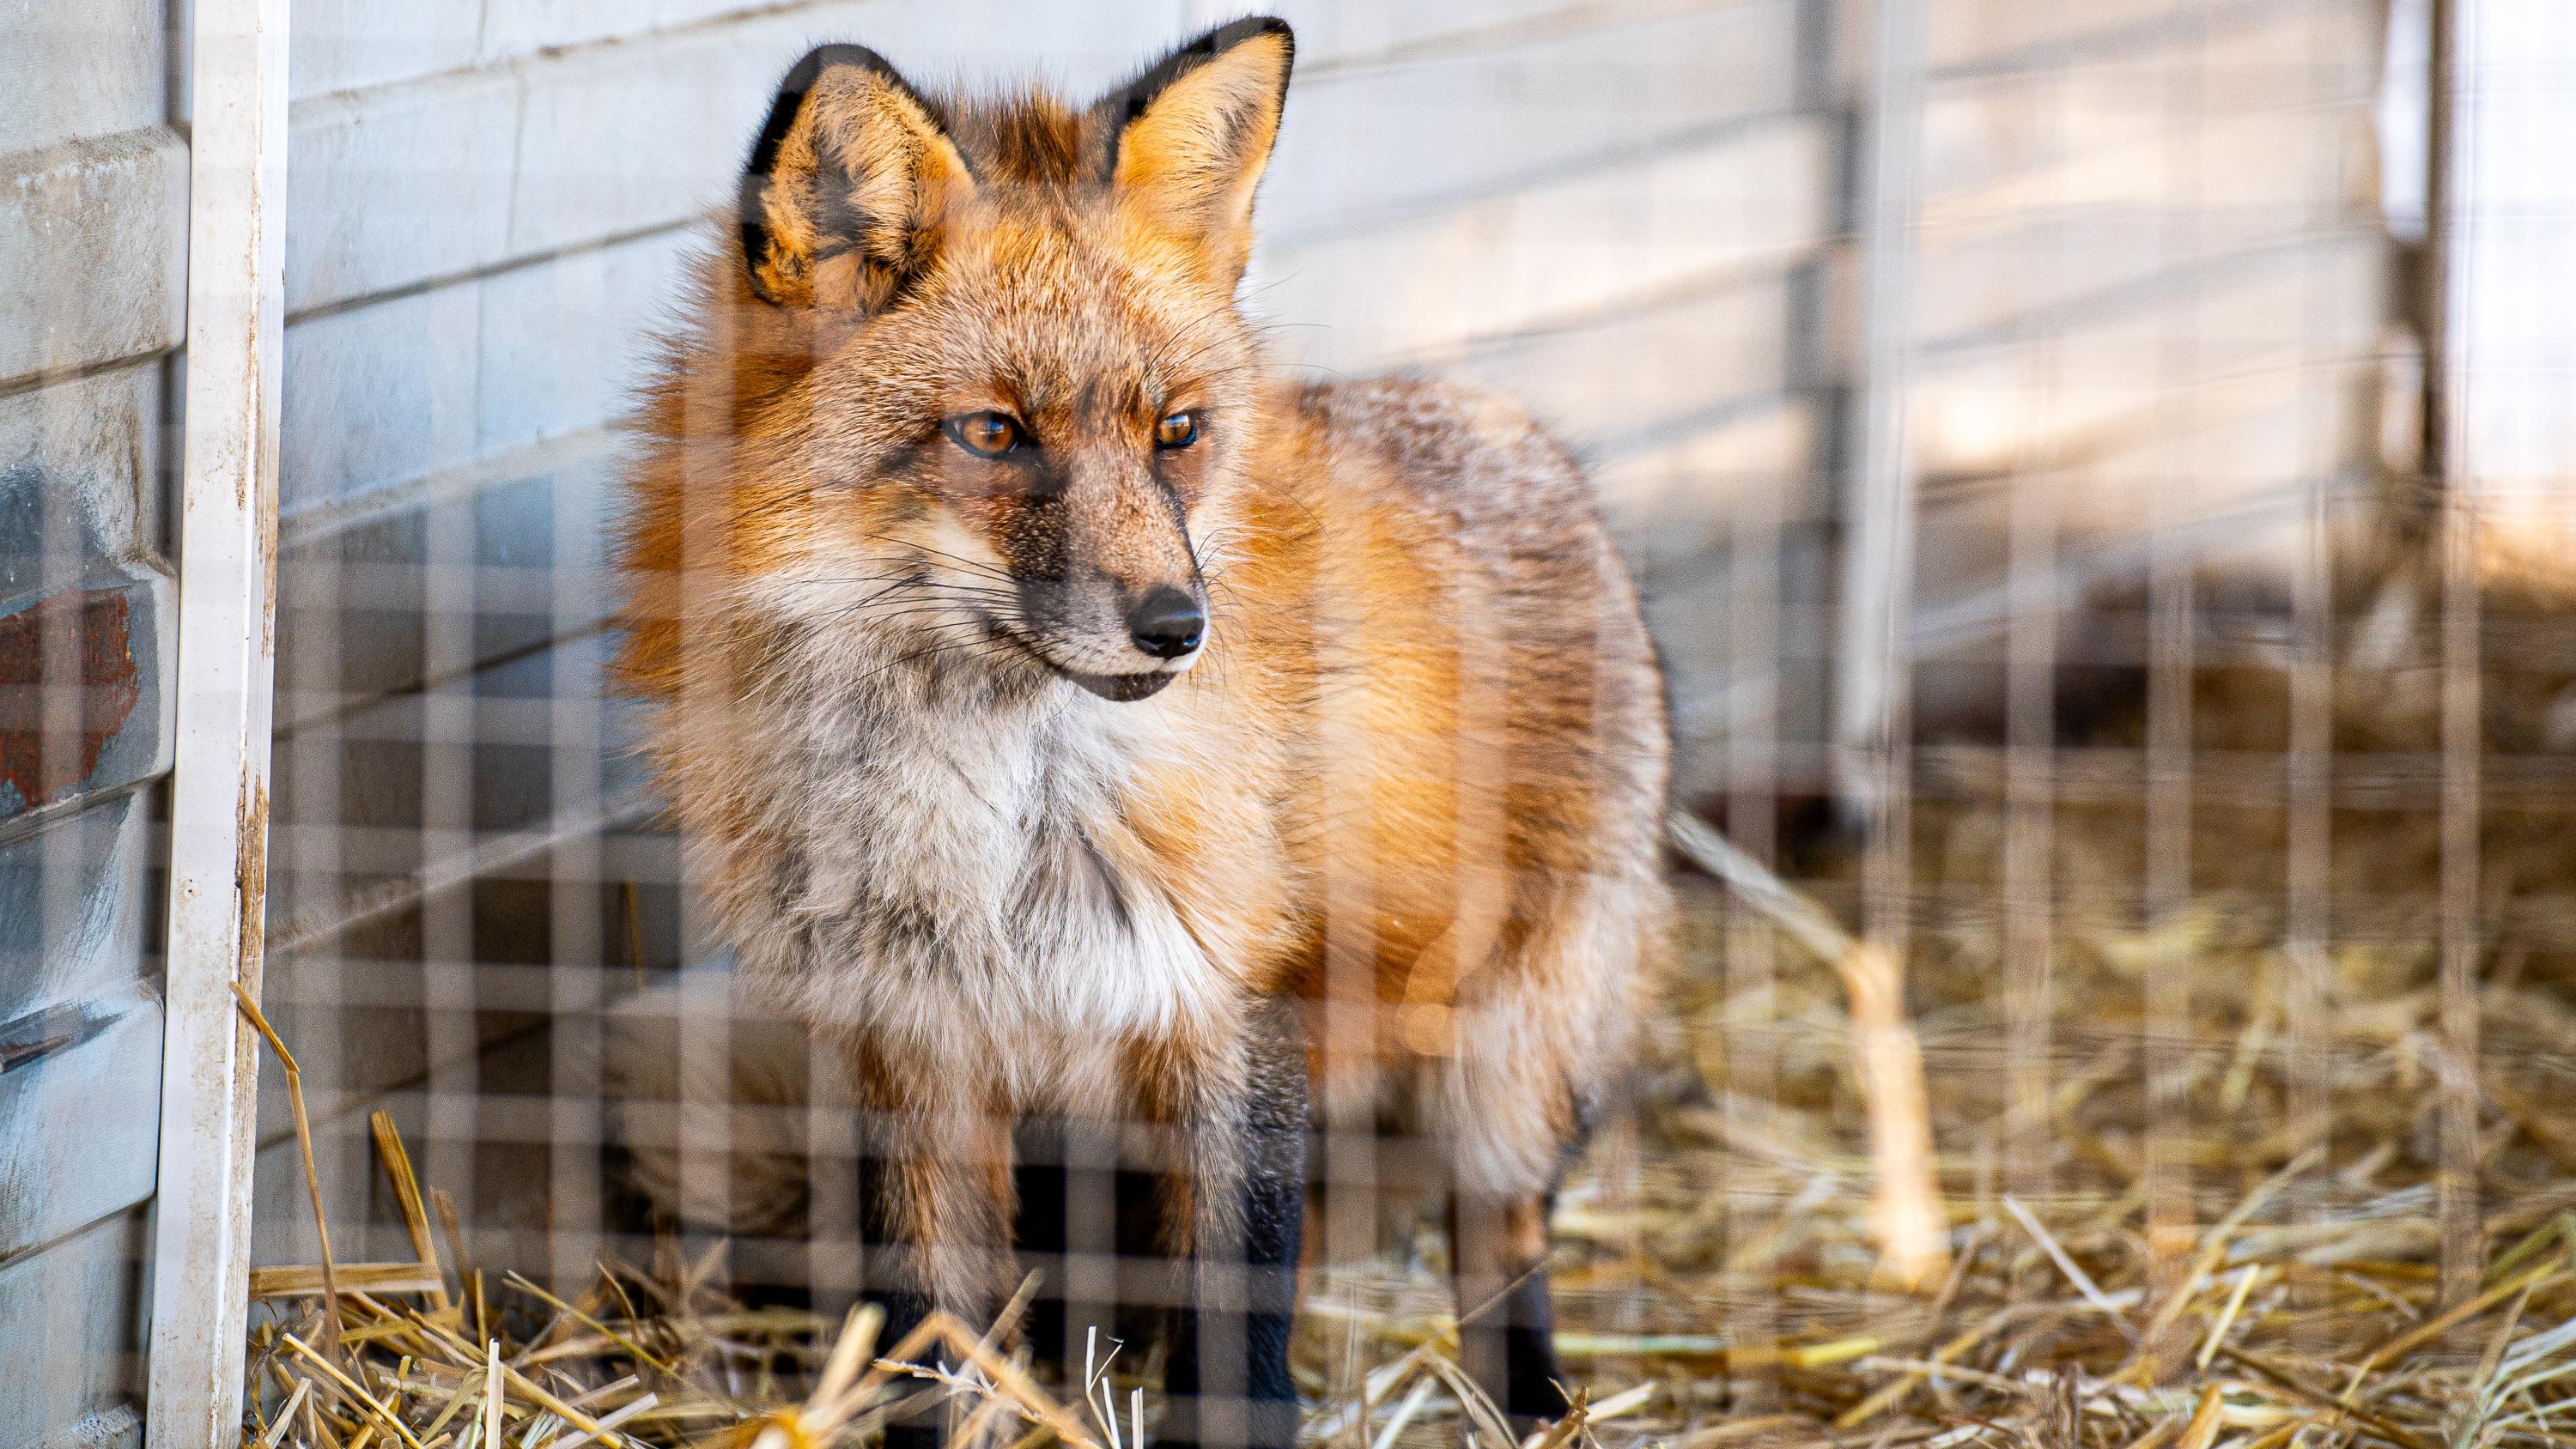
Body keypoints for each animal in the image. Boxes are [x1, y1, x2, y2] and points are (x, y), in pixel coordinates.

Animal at [616, 16, 1680, 1441]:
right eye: (994, 433)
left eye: (1176, 430)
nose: (1180, 627)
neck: (1000, 821)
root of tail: (1513, 429)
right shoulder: (915, 1044)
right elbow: (932, 1333)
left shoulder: (1232, 1009)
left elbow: (1236, 1327)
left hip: (1510, 1057)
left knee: (1500, 1233)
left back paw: (1531, 1395)